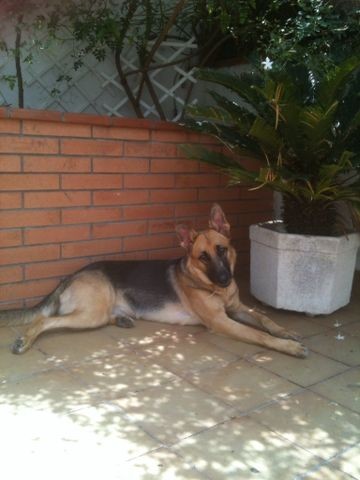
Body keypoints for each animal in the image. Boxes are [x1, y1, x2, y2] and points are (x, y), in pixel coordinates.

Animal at [0, 204, 308, 358]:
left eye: (221, 250)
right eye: (202, 257)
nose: (225, 279)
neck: (212, 288)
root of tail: (70, 275)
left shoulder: (237, 308)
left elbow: (265, 319)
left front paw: (286, 332)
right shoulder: (222, 322)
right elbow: (259, 335)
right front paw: (288, 347)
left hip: (96, 314)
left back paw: (122, 319)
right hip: (91, 312)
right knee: (44, 320)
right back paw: (24, 341)